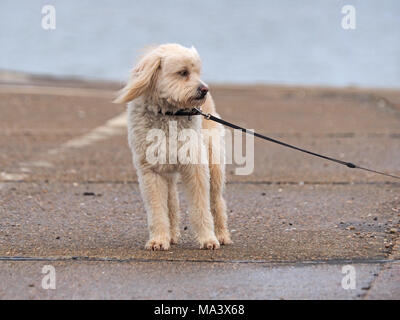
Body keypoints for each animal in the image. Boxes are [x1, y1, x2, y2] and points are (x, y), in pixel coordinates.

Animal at [114, 43, 233, 251]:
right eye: (183, 72)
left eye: (197, 71)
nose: (205, 89)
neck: (168, 113)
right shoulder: (151, 173)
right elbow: (157, 210)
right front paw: (159, 239)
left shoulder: (196, 168)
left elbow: (201, 208)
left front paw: (207, 238)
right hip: (167, 173)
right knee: (172, 202)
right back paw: (172, 235)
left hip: (215, 167)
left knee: (217, 202)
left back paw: (221, 234)